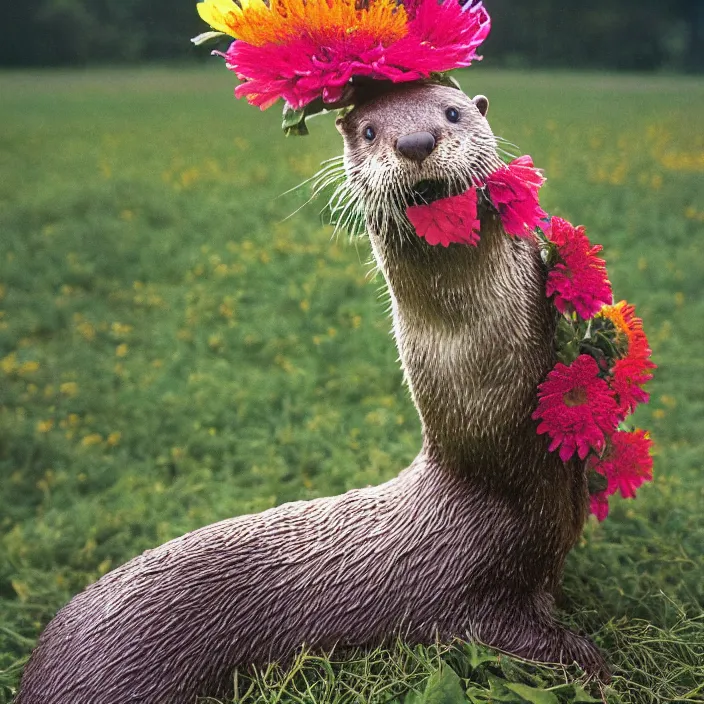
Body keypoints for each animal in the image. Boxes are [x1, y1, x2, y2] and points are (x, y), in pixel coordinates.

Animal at [13, 84, 608, 704]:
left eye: (452, 111)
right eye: (368, 130)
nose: (415, 141)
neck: (498, 466)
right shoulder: (471, 596)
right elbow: (534, 644)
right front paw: (587, 661)